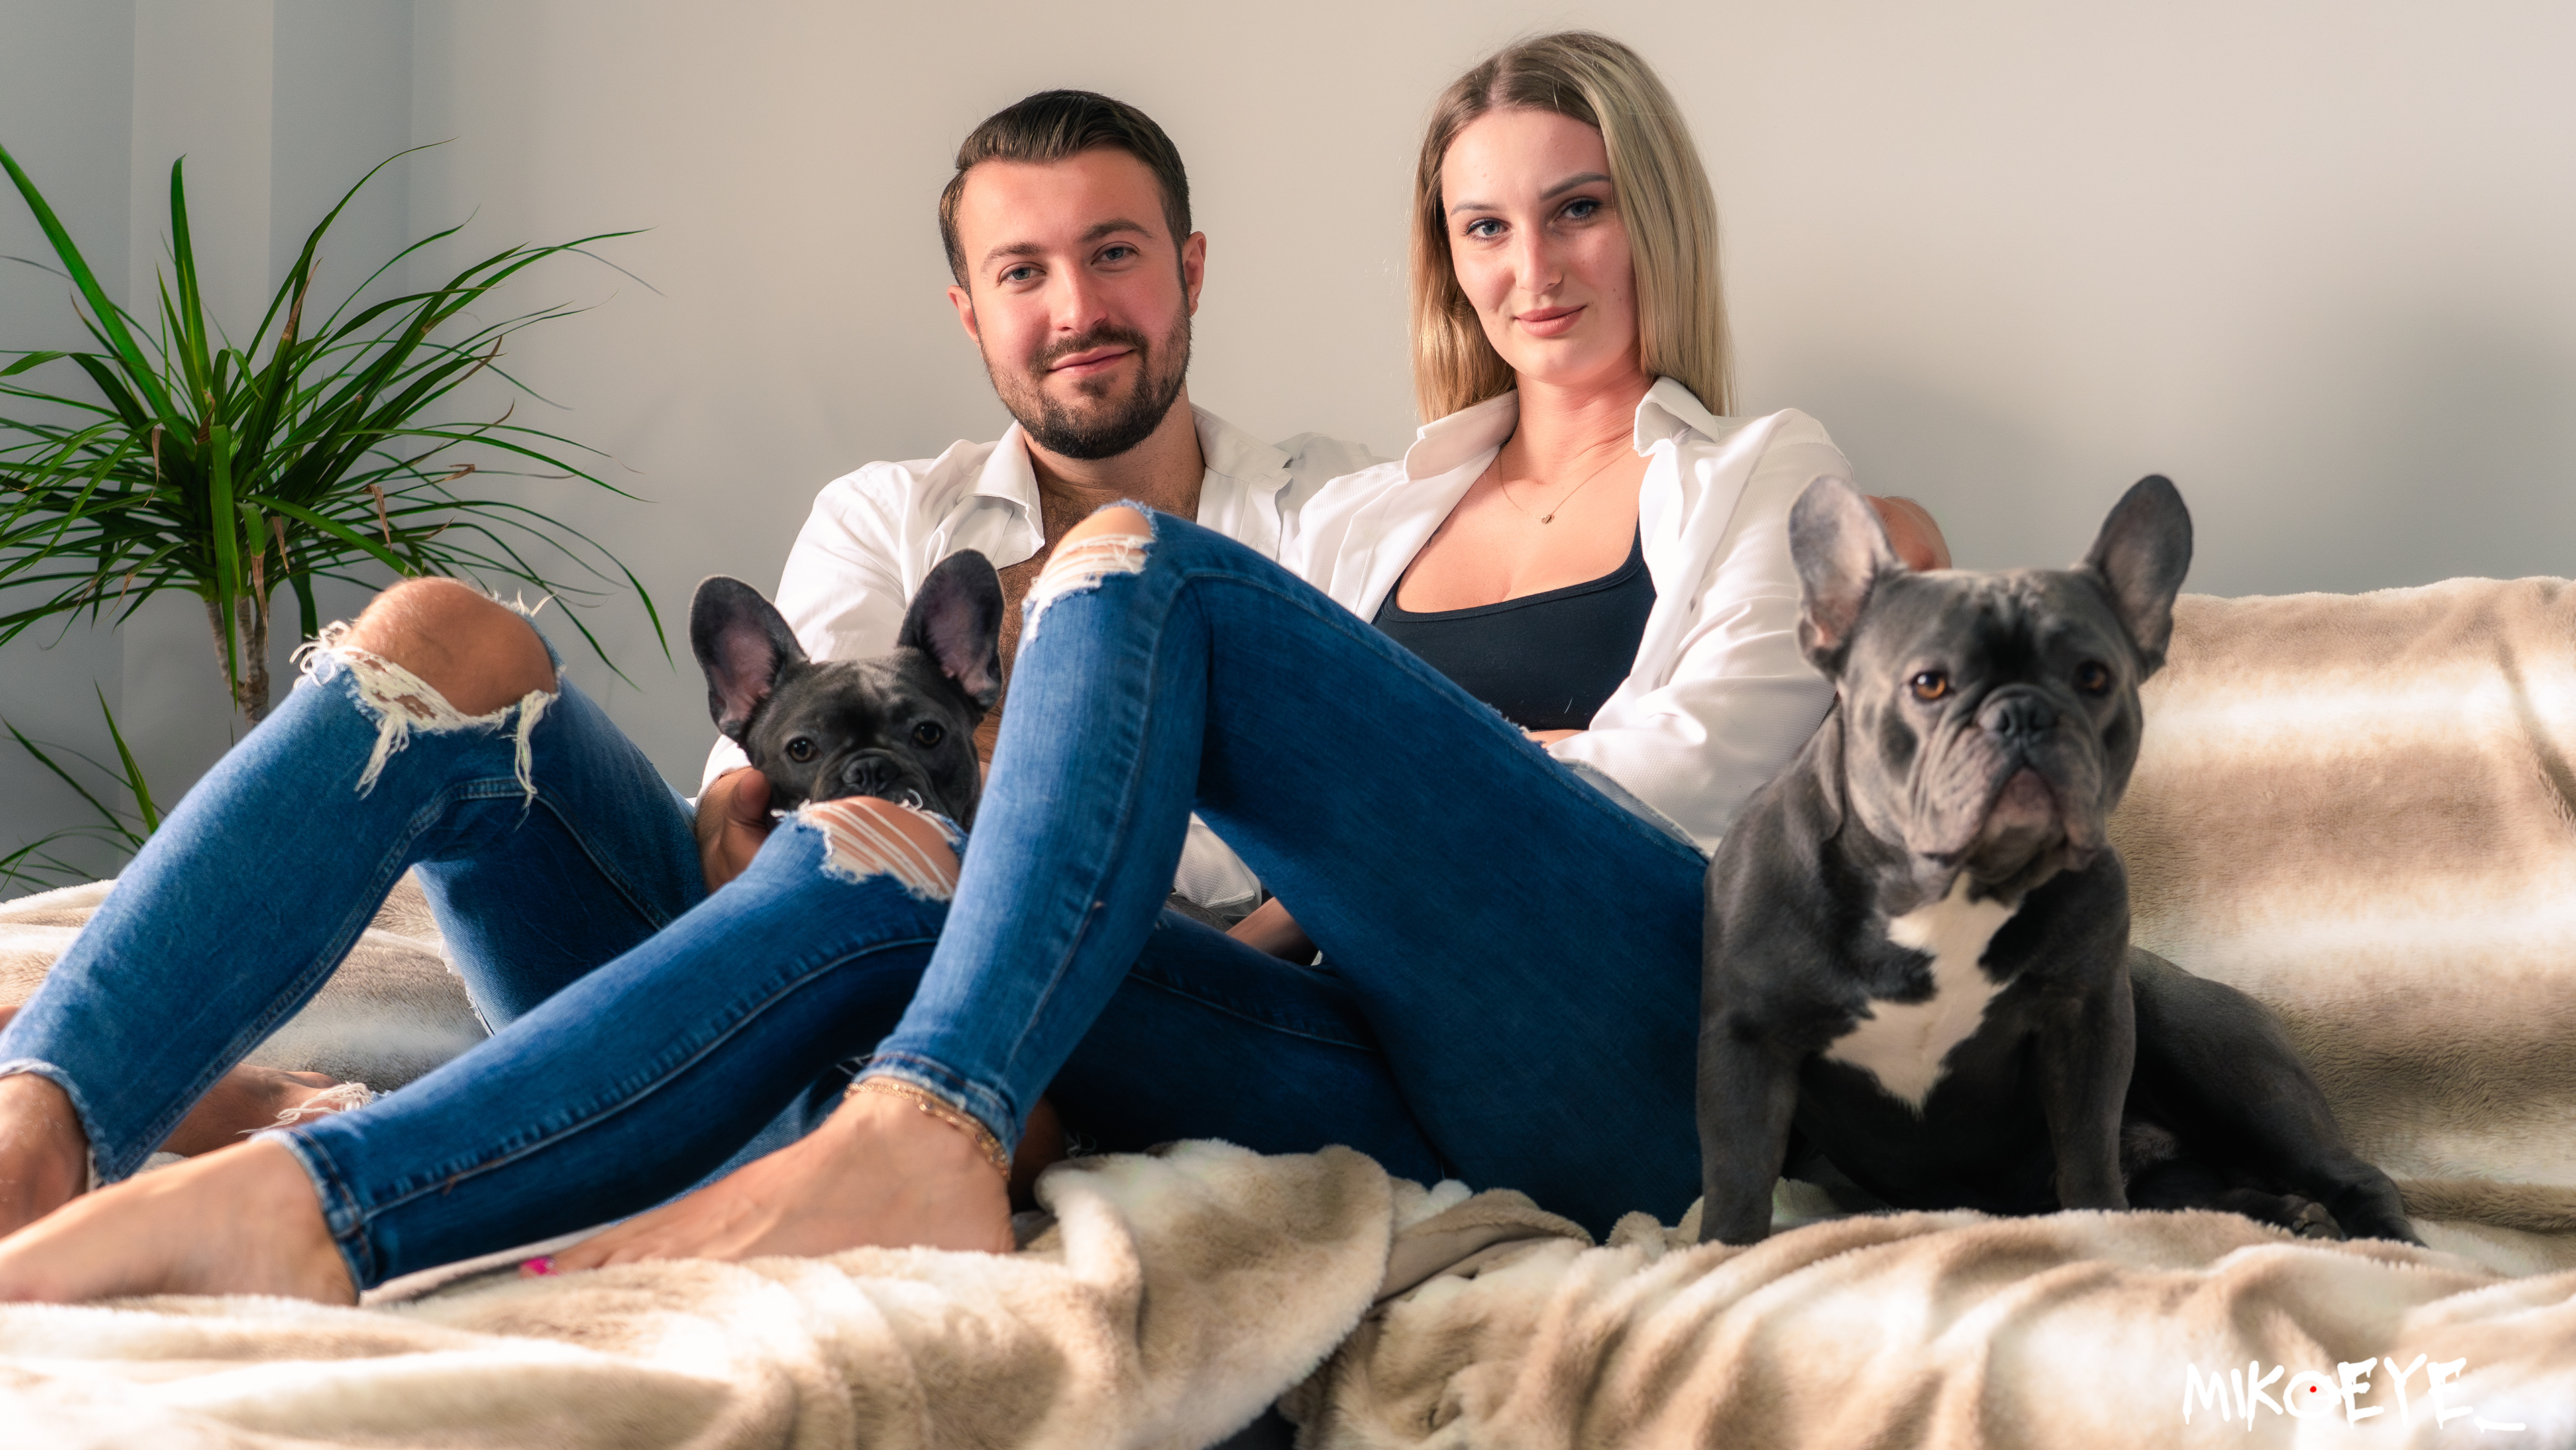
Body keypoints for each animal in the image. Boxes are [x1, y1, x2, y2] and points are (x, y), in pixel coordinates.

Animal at [1695, 476, 2417, 1247]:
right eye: (1928, 683)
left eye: (2094, 677)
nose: (2024, 712)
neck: (1951, 889)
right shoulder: (1747, 1043)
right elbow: (1740, 1176)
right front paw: (1724, 1254)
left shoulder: (2087, 1020)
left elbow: (2088, 1154)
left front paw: (2100, 1229)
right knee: (2208, 1197)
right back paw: (2293, 1218)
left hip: (2218, 1056)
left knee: (2348, 1173)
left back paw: (2390, 1245)